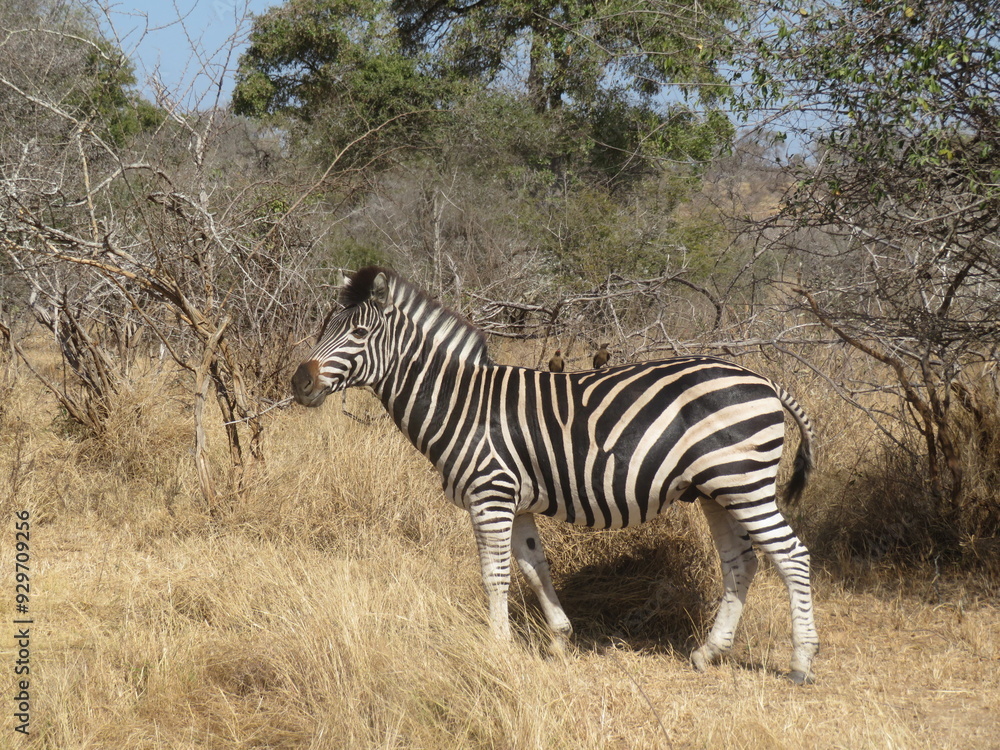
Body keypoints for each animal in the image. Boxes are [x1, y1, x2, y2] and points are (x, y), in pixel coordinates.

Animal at [291, 267, 820, 684]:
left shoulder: (490, 494)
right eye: (324, 326)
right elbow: (533, 567)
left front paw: (497, 649)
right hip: (717, 491)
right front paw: (561, 638)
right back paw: (709, 653)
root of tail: (764, 380)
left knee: (792, 555)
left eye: (359, 334)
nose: (299, 382)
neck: (462, 404)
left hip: (744, 483)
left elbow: (495, 575)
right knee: (741, 563)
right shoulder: (517, 500)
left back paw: (802, 663)